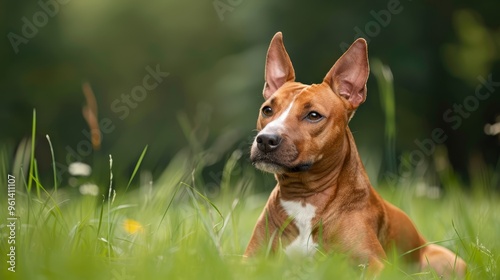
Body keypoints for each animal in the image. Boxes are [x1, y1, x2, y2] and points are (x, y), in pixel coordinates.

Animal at [244, 31, 466, 278]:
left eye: (313, 115)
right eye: (267, 110)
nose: (266, 140)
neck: (304, 196)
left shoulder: (375, 265)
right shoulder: (250, 261)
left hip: (444, 262)